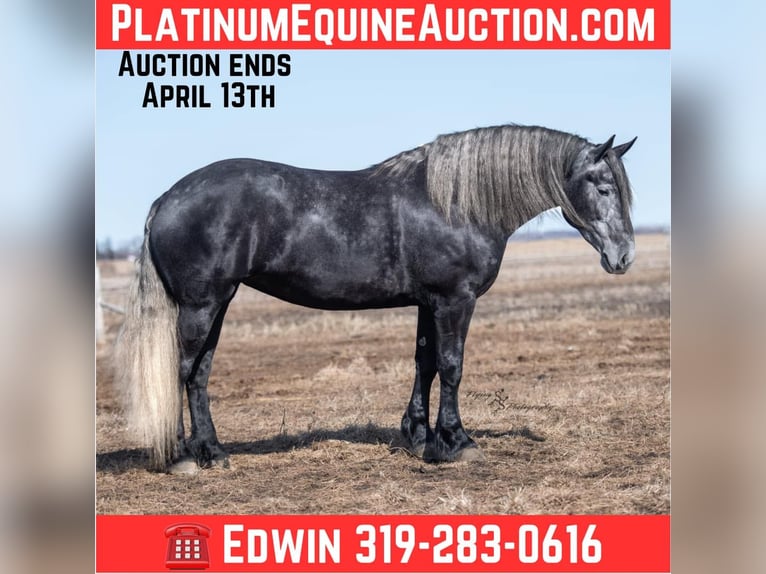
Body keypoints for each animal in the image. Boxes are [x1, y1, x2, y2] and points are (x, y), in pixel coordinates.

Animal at [115, 124, 637, 473]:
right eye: (604, 187)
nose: (624, 256)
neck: (456, 203)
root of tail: (166, 199)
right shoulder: (454, 300)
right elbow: (452, 366)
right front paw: (458, 442)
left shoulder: (429, 303)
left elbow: (424, 364)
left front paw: (420, 438)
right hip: (201, 305)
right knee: (181, 369)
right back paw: (181, 457)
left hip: (217, 304)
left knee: (199, 374)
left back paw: (213, 452)